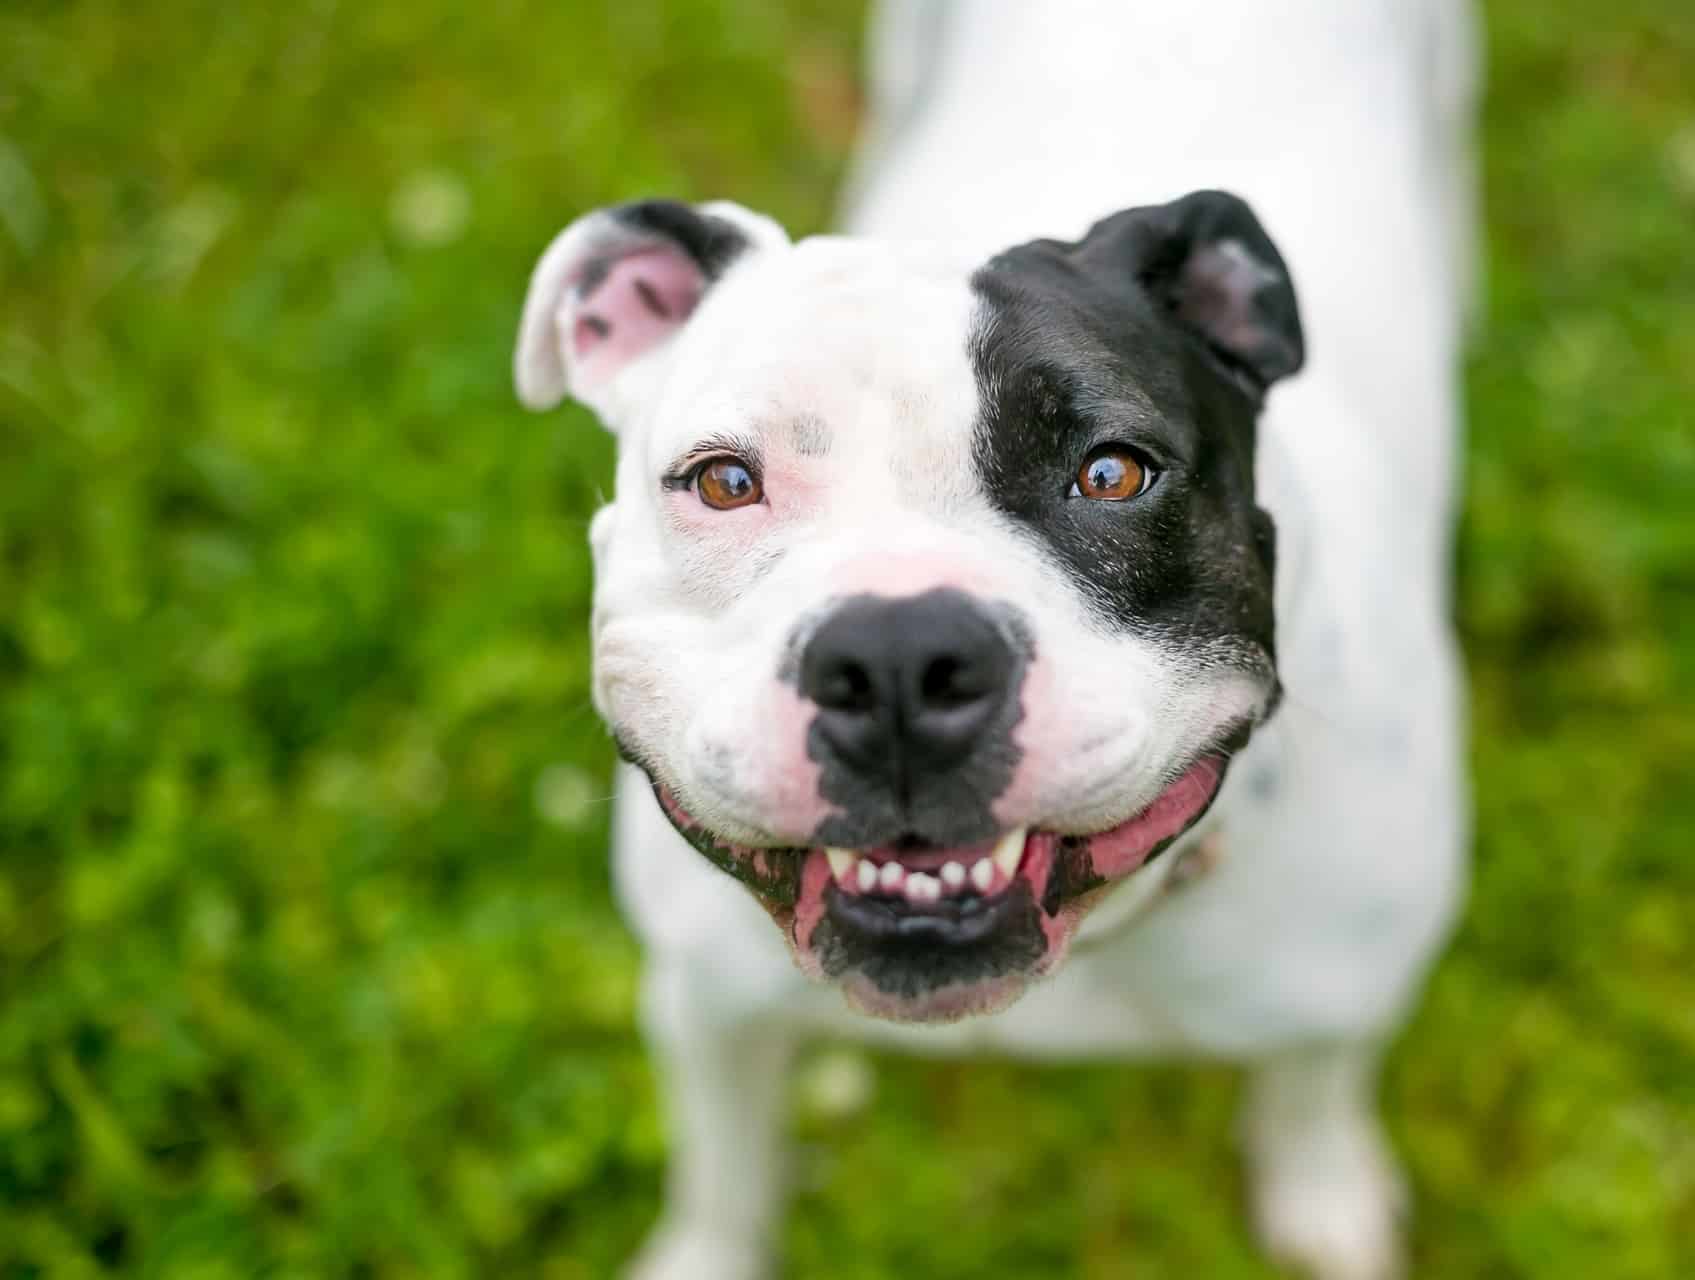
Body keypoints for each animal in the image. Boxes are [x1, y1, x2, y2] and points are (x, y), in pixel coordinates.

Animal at [511, 5, 1471, 1274]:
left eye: (1112, 472)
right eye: (722, 480)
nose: (900, 659)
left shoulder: (1347, 992)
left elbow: (1311, 1088)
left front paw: (1322, 1194)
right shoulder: (704, 1005)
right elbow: (725, 1172)